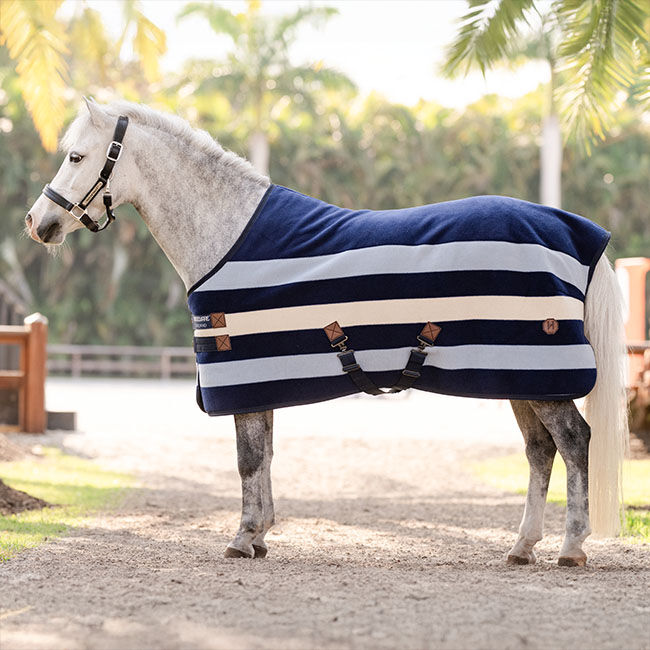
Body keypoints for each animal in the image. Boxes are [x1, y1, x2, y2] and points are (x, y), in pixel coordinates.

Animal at [25, 99, 628, 567]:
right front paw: (261, 535)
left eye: (77, 156)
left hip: (542, 377)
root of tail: (576, 232)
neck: (229, 233)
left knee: (573, 442)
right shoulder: (257, 382)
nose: (37, 224)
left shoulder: (241, 377)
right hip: (521, 377)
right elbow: (265, 455)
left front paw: (243, 538)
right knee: (539, 451)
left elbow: (248, 460)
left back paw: (571, 547)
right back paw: (522, 546)